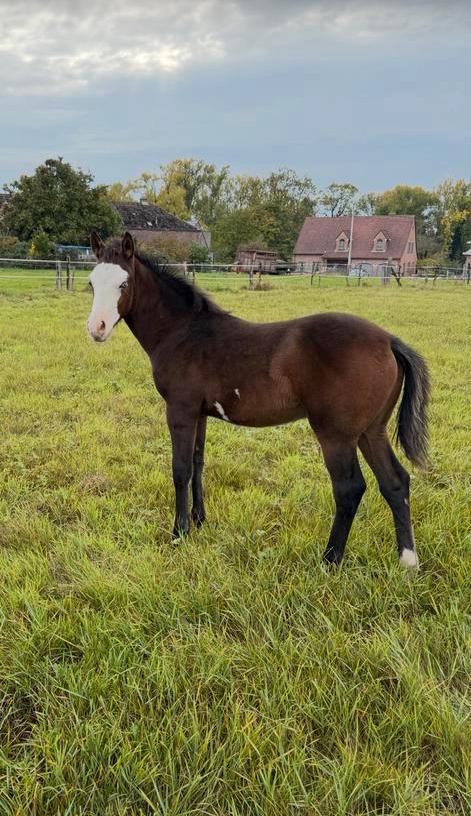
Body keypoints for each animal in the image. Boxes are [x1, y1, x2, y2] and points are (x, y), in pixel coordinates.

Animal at [87, 232, 429, 569]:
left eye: (124, 283)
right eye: (91, 282)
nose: (96, 328)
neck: (182, 332)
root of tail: (389, 341)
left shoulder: (180, 410)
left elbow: (180, 469)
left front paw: (178, 533)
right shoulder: (199, 413)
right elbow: (198, 462)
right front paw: (199, 521)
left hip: (337, 434)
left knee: (349, 488)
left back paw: (329, 560)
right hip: (371, 431)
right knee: (395, 482)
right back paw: (408, 561)